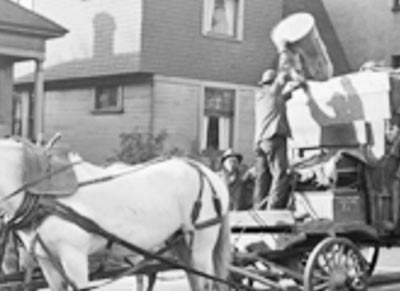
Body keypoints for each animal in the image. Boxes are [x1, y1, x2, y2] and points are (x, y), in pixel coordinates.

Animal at [0, 139, 230, 291]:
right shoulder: (45, 260)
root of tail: (207, 172)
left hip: (202, 244)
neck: (41, 195)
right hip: (181, 241)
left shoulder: (74, 256)